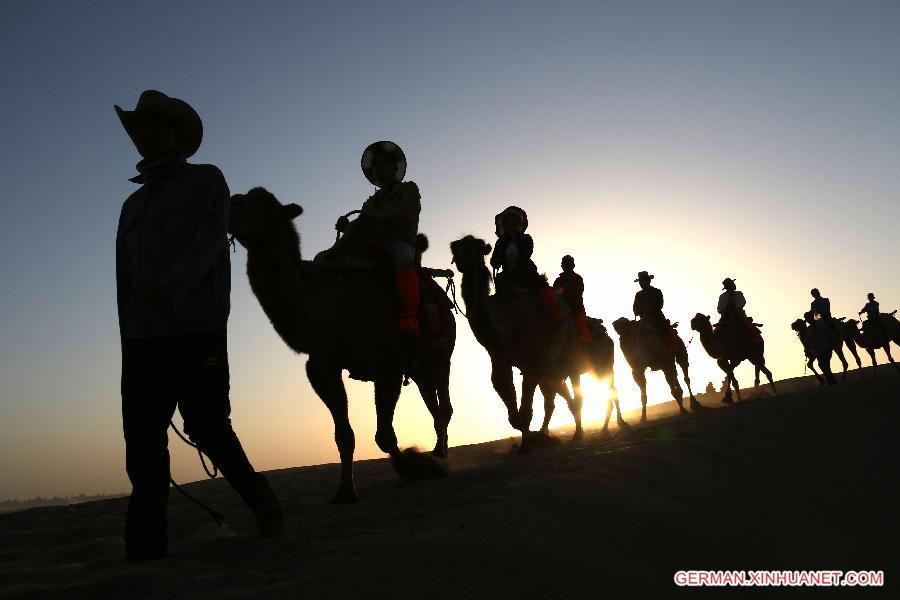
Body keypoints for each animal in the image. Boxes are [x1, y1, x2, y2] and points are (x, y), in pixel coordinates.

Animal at [227, 188, 450, 502]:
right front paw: (344, 492)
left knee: (444, 403)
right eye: (240, 199)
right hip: (418, 367)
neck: (332, 306)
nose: (231, 206)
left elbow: (384, 436)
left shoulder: (388, 365)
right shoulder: (322, 367)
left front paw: (414, 467)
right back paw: (438, 452)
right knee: (432, 403)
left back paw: (440, 456)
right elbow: (344, 436)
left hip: (442, 354)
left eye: (268, 206)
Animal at [450, 233, 584, 446]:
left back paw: (578, 434)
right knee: (556, 394)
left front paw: (528, 444)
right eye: (458, 246)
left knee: (573, 384)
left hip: (569, 346)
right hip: (551, 364)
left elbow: (526, 411)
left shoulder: (533, 364)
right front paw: (527, 442)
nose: (460, 255)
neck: (506, 330)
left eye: (475, 247)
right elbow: (513, 413)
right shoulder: (500, 360)